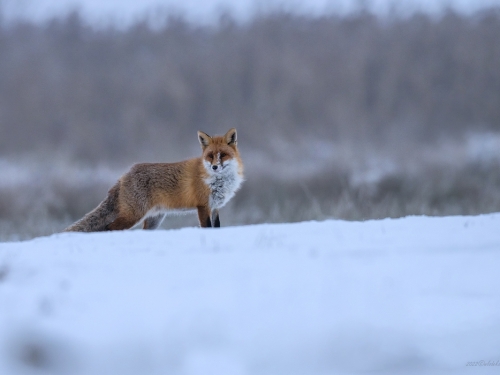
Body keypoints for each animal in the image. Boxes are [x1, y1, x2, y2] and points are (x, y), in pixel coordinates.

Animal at [64, 129, 244, 232]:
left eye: (223, 155)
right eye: (210, 156)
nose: (214, 167)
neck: (218, 181)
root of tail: (123, 175)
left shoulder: (214, 207)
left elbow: (217, 227)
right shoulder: (203, 205)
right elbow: (207, 228)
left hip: (153, 220)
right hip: (133, 215)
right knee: (109, 227)